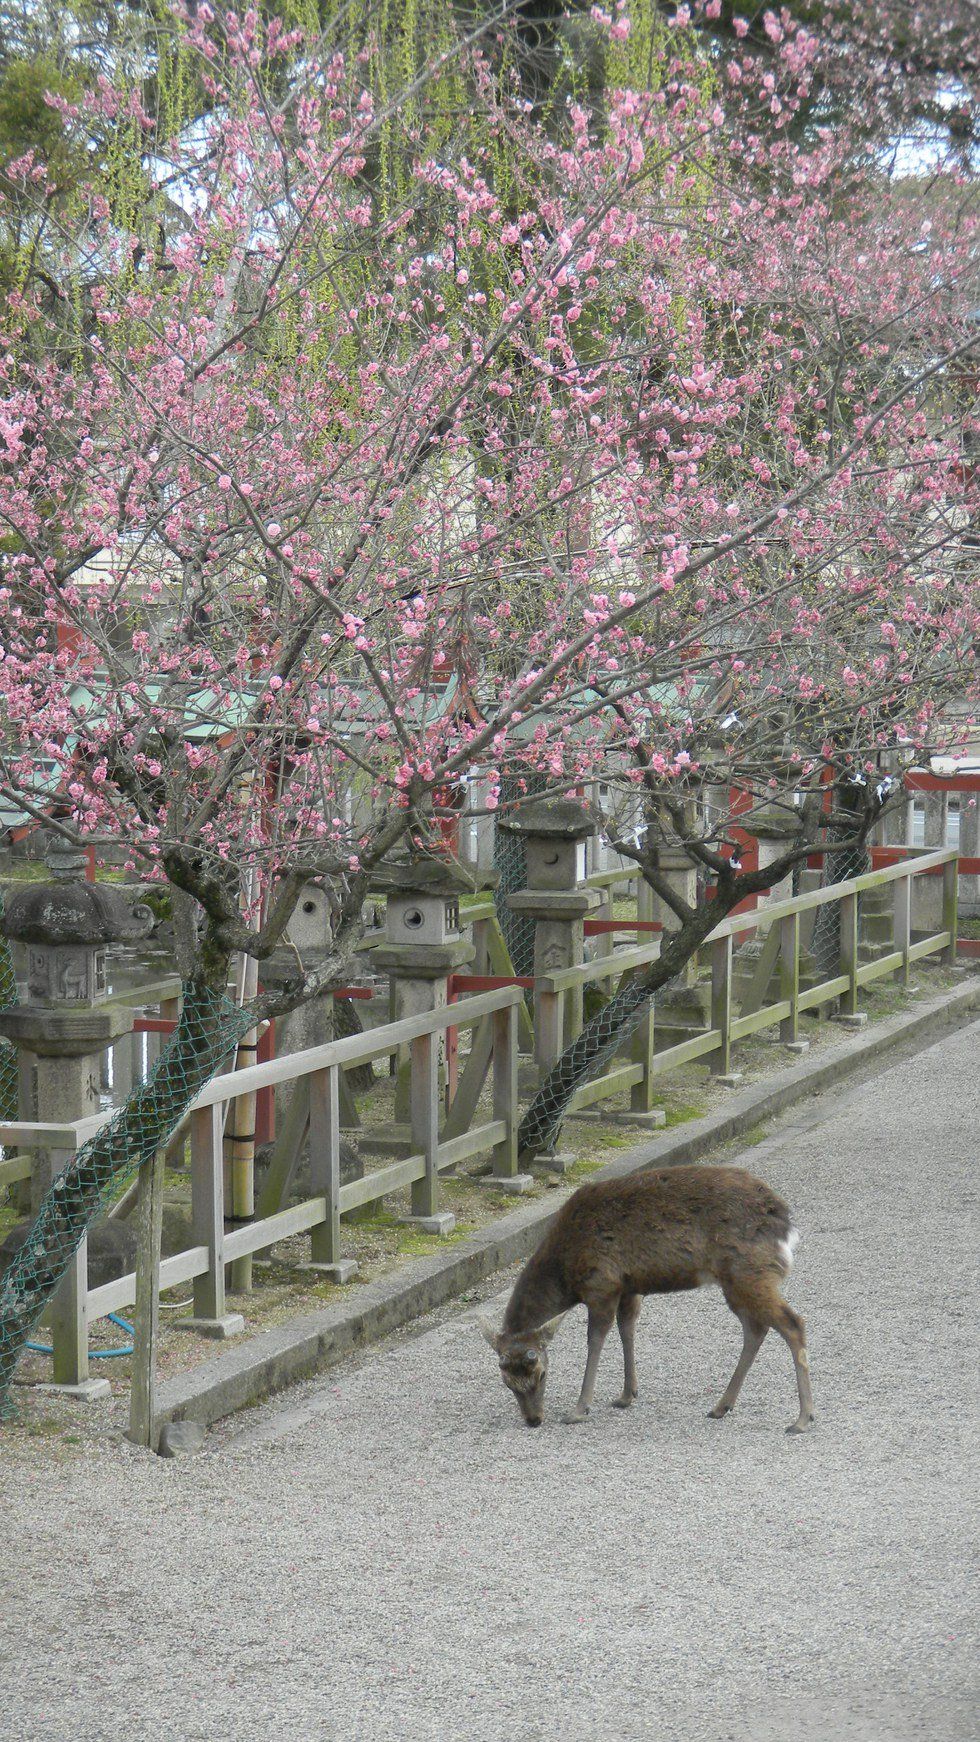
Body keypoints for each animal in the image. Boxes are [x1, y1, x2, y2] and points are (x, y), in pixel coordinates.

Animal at [480, 1163, 814, 1435]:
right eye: (506, 1382)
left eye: (541, 1372)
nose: (533, 1420)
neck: (565, 1272)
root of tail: (785, 1223)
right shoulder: (629, 1287)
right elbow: (627, 1329)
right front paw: (627, 1394)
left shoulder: (601, 1284)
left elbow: (595, 1341)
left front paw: (579, 1409)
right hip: (737, 1281)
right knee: (756, 1328)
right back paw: (722, 1406)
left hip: (749, 1271)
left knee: (792, 1323)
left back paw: (802, 1419)